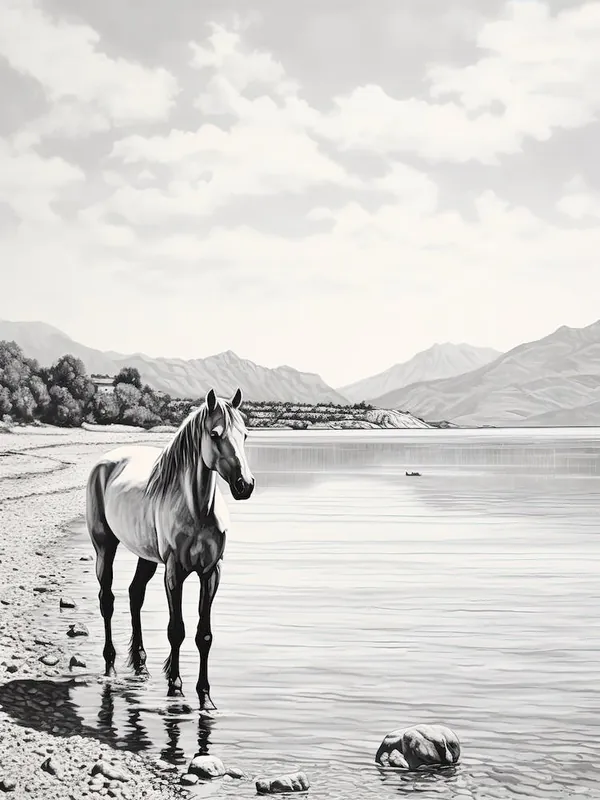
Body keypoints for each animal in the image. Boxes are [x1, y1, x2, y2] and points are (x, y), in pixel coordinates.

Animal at [85, 387, 255, 709]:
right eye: (215, 434)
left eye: (245, 435)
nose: (245, 485)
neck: (197, 510)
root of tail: (106, 462)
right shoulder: (174, 572)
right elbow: (176, 630)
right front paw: (175, 686)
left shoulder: (211, 572)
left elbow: (204, 635)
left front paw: (205, 696)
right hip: (104, 548)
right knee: (106, 600)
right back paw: (110, 665)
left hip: (146, 556)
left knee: (134, 594)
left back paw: (140, 662)